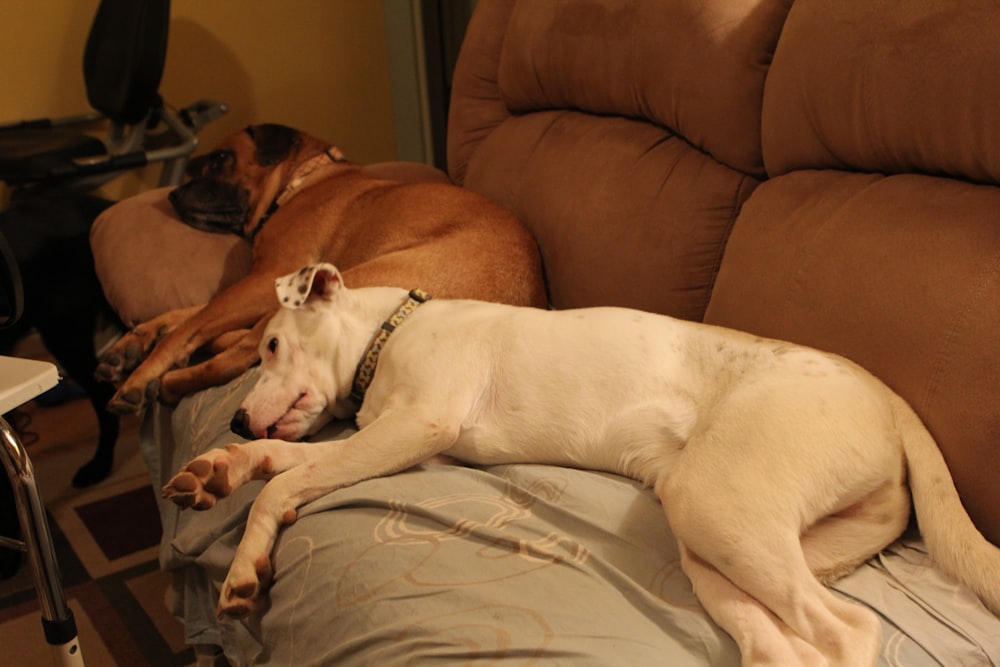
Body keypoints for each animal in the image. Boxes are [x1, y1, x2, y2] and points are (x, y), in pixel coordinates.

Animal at [97, 123, 548, 414]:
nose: (173, 196)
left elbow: (190, 327)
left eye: (222, 158)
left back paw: (174, 382)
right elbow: (186, 314)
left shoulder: (265, 278)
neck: (304, 177)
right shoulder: (254, 284)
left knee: (240, 355)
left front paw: (140, 377)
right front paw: (132, 342)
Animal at [166, 264, 1000, 664]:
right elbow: (282, 457)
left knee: (848, 630)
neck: (390, 333)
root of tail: (887, 396)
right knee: (782, 641)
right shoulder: (380, 432)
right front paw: (219, 467)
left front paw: (244, 563)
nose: (232, 413)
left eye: (272, 343)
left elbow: (288, 476)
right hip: (726, 544)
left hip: (714, 501)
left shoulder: (416, 424)